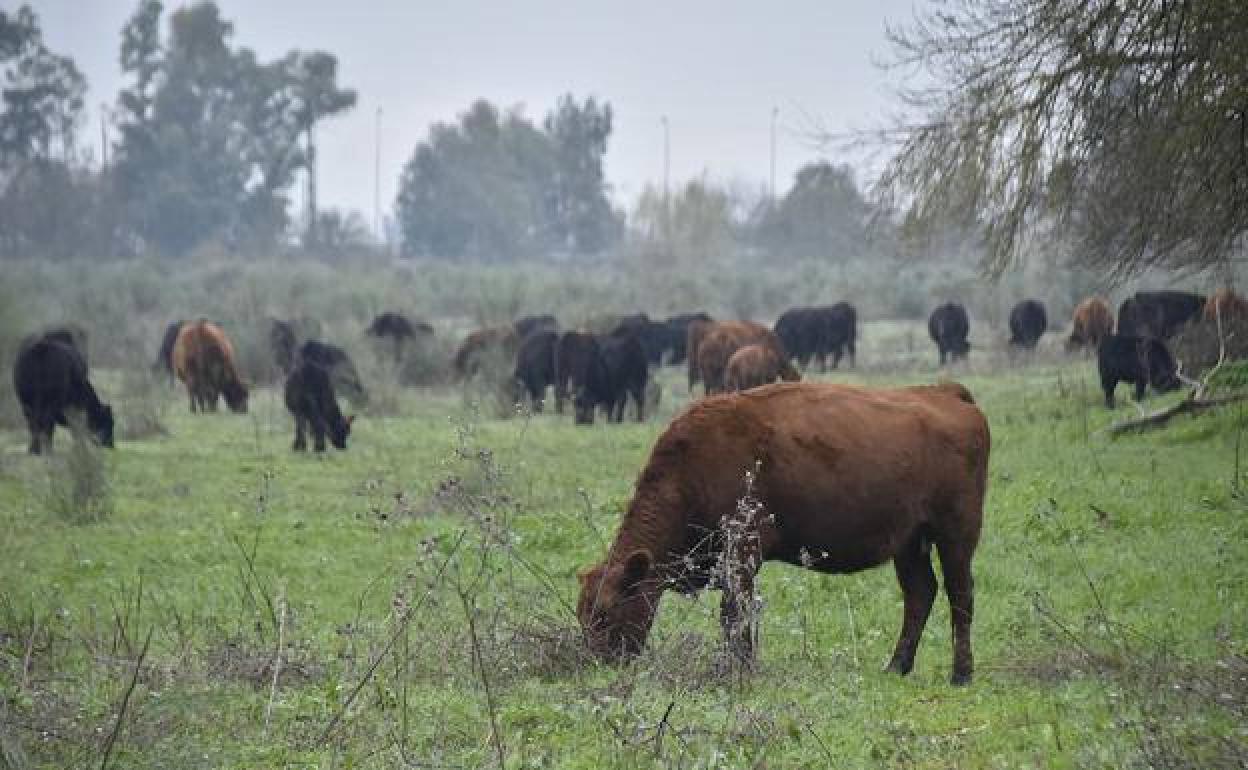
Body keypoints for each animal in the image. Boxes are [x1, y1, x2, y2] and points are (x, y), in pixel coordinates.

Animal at [576, 381, 993, 683]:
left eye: (607, 612)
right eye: (583, 614)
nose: (595, 664)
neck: (689, 474)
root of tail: (948, 394)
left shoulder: (743, 552)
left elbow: (734, 612)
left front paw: (741, 669)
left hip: (955, 534)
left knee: (960, 595)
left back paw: (961, 674)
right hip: (908, 543)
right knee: (920, 594)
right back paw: (895, 668)